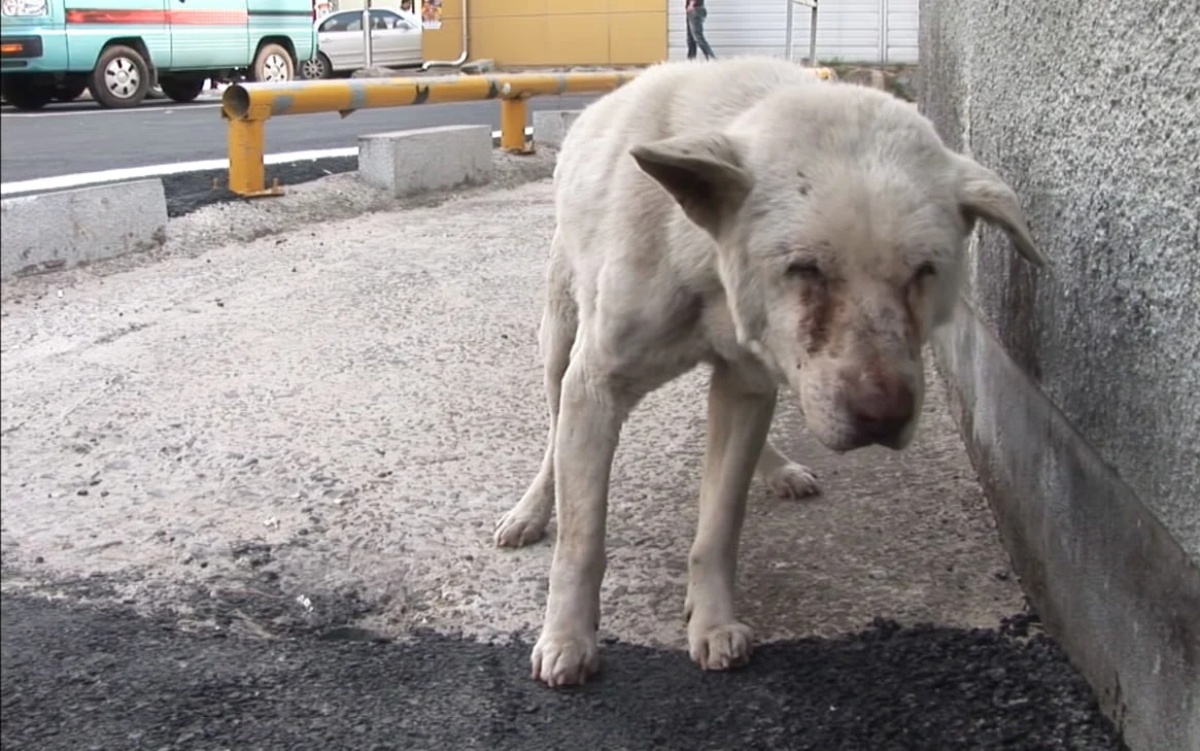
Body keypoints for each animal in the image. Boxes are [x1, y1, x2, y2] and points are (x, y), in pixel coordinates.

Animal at [492, 56, 1046, 686]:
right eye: (804, 268)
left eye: (925, 271)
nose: (883, 418)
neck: (704, 256)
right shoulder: (596, 385)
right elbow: (582, 539)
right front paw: (567, 636)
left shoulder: (747, 384)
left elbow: (719, 524)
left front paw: (711, 621)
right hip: (558, 341)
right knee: (554, 436)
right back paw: (532, 509)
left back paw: (777, 466)